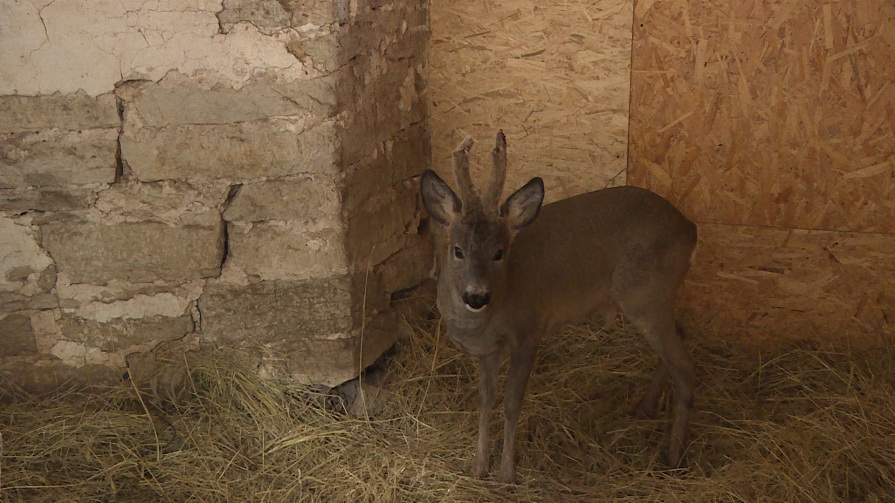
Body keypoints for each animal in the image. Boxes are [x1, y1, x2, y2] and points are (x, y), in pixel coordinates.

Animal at [420, 131, 700, 484]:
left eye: (499, 252)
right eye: (457, 250)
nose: (477, 296)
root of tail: (690, 228)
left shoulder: (529, 331)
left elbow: (512, 403)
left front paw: (507, 473)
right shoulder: (489, 349)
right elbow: (486, 401)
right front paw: (478, 466)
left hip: (647, 296)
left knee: (686, 367)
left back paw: (673, 457)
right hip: (656, 300)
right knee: (680, 337)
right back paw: (644, 408)